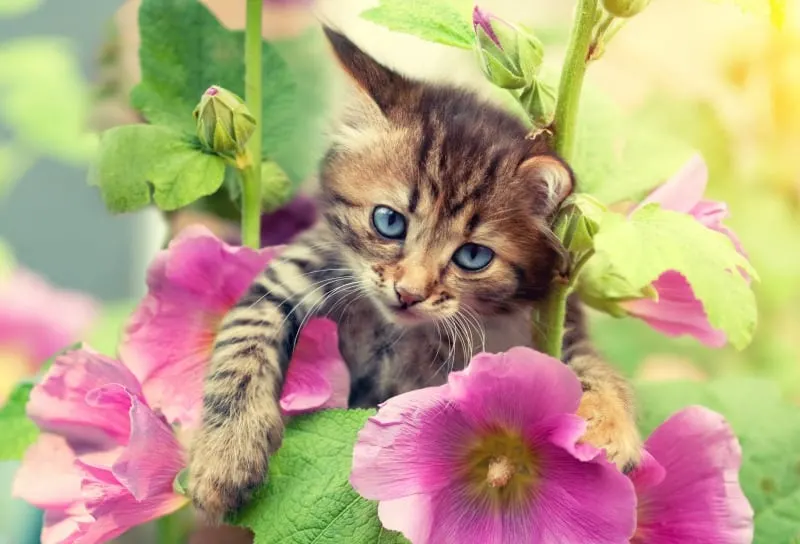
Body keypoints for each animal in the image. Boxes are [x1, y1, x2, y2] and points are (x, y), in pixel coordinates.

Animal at [189, 27, 644, 520]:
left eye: (472, 257)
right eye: (389, 222)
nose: (408, 293)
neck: (406, 334)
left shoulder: (551, 320)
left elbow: (593, 365)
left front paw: (607, 423)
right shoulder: (296, 271)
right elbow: (242, 339)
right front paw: (223, 456)